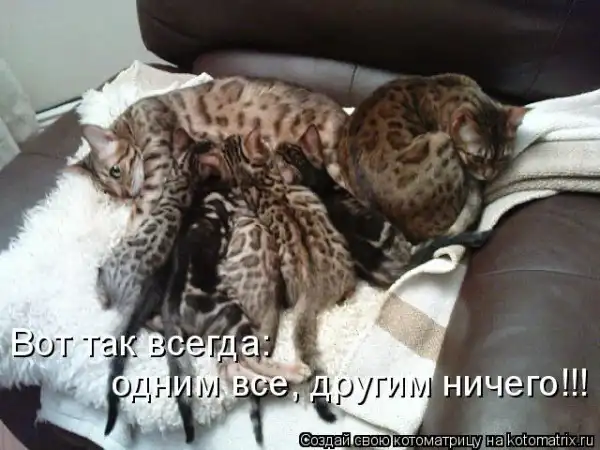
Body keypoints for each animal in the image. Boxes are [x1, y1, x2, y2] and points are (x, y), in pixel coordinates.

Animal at [68, 76, 350, 230]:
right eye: (107, 193)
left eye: (115, 171)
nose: (125, 195)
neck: (130, 122)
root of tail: (345, 115)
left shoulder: (157, 153)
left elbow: (141, 207)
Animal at [198, 129, 357, 424]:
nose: (269, 140)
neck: (252, 175)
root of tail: (311, 290)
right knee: (239, 364)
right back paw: (293, 373)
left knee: (235, 365)